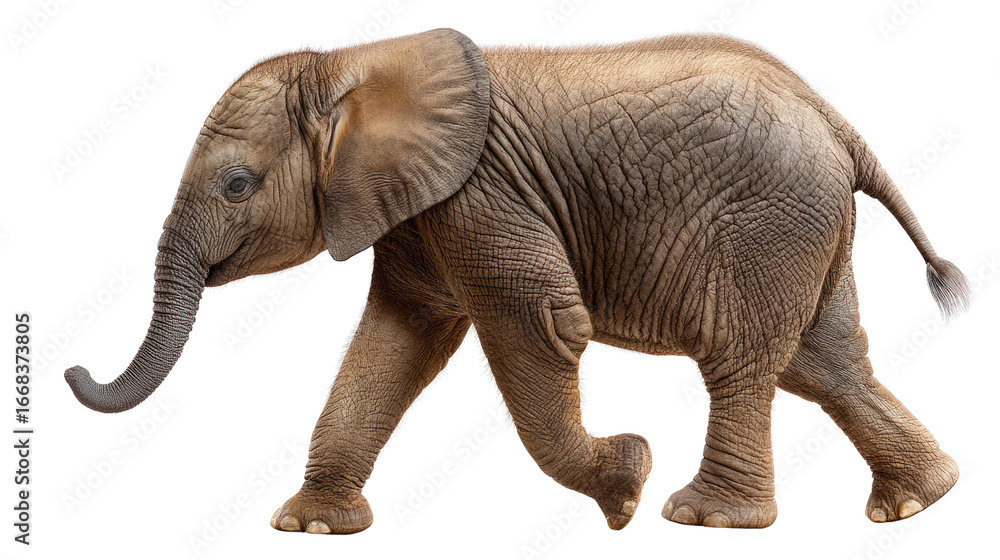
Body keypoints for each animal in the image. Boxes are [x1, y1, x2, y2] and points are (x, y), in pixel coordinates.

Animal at [65, 29, 970, 533]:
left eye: (236, 185)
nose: (70, 367)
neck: (354, 63)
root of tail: (842, 127)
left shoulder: (480, 195)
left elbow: (543, 322)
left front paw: (625, 483)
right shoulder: (419, 211)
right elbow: (397, 340)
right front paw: (312, 528)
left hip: (766, 223)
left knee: (743, 357)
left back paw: (703, 517)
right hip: (805, 228)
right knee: (824, 363)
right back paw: (916, 505)